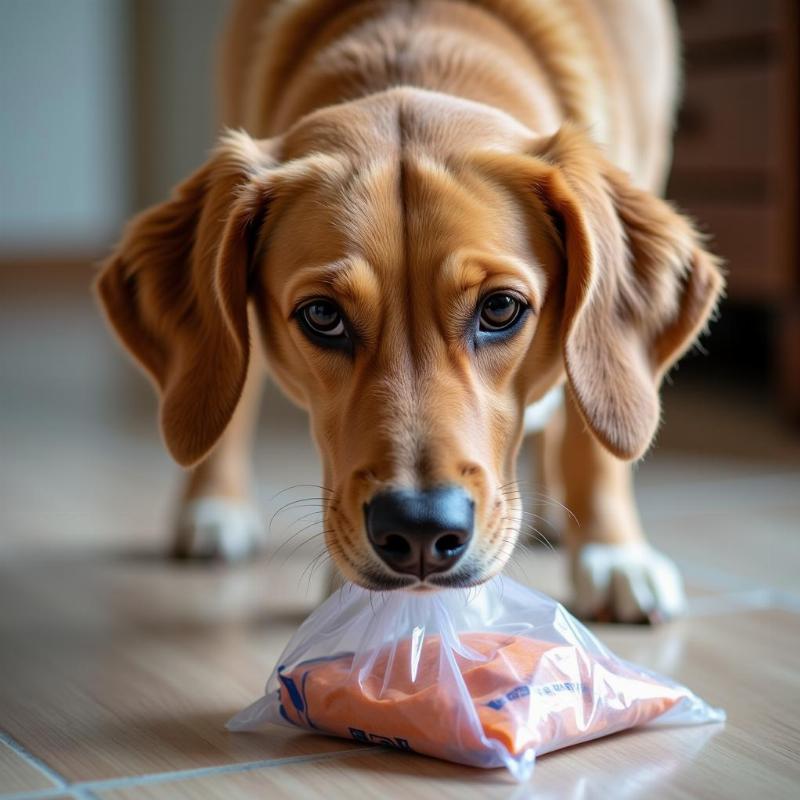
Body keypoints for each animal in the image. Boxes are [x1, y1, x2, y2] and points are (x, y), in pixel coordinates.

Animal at [95, 0, 724, 620]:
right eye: (322, 316)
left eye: (500, 308)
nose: (420, 531)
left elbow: (595, 434)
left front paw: (613, 553)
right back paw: (213, 507)